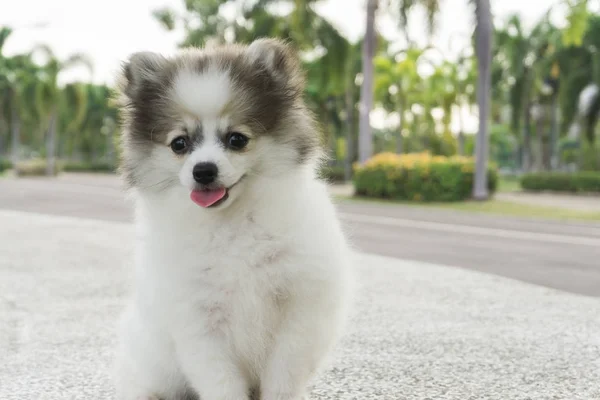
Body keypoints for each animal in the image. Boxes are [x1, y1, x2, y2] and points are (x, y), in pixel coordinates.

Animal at [112, 38, 354, 400]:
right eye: (179, 144)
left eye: (236, 139)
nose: (203, 170)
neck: (233, 223)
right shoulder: (200, 322)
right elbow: (220, 382)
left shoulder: (299, 311)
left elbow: (284, 374)